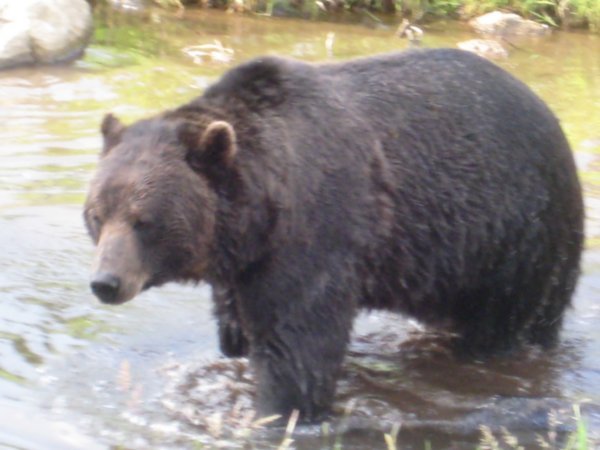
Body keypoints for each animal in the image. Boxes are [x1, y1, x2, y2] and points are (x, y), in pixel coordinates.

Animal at [82, 49, 584, 422]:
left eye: (144, 220)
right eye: (96, 215)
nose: (106, 282)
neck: (258, 214)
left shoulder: (316, 233)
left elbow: (298, 344)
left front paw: (281, 411)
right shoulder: (242, 265)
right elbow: (236, 328)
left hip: (518, 236)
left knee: (509, 322)